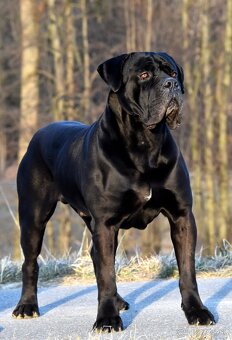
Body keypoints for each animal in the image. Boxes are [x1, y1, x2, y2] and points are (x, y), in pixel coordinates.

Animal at [12, 53, 216, 332]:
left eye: (172, 72)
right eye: (144, 75)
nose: (172, 84)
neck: (145, 142)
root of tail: (38, 133)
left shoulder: (181, 216)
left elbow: (187, 270)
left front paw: (196, 311)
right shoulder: (106, 222)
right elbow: (107, 273)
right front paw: (107, 319)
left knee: (95, 256)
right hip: (33, 216)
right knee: (30, 263)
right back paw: (27, 306)